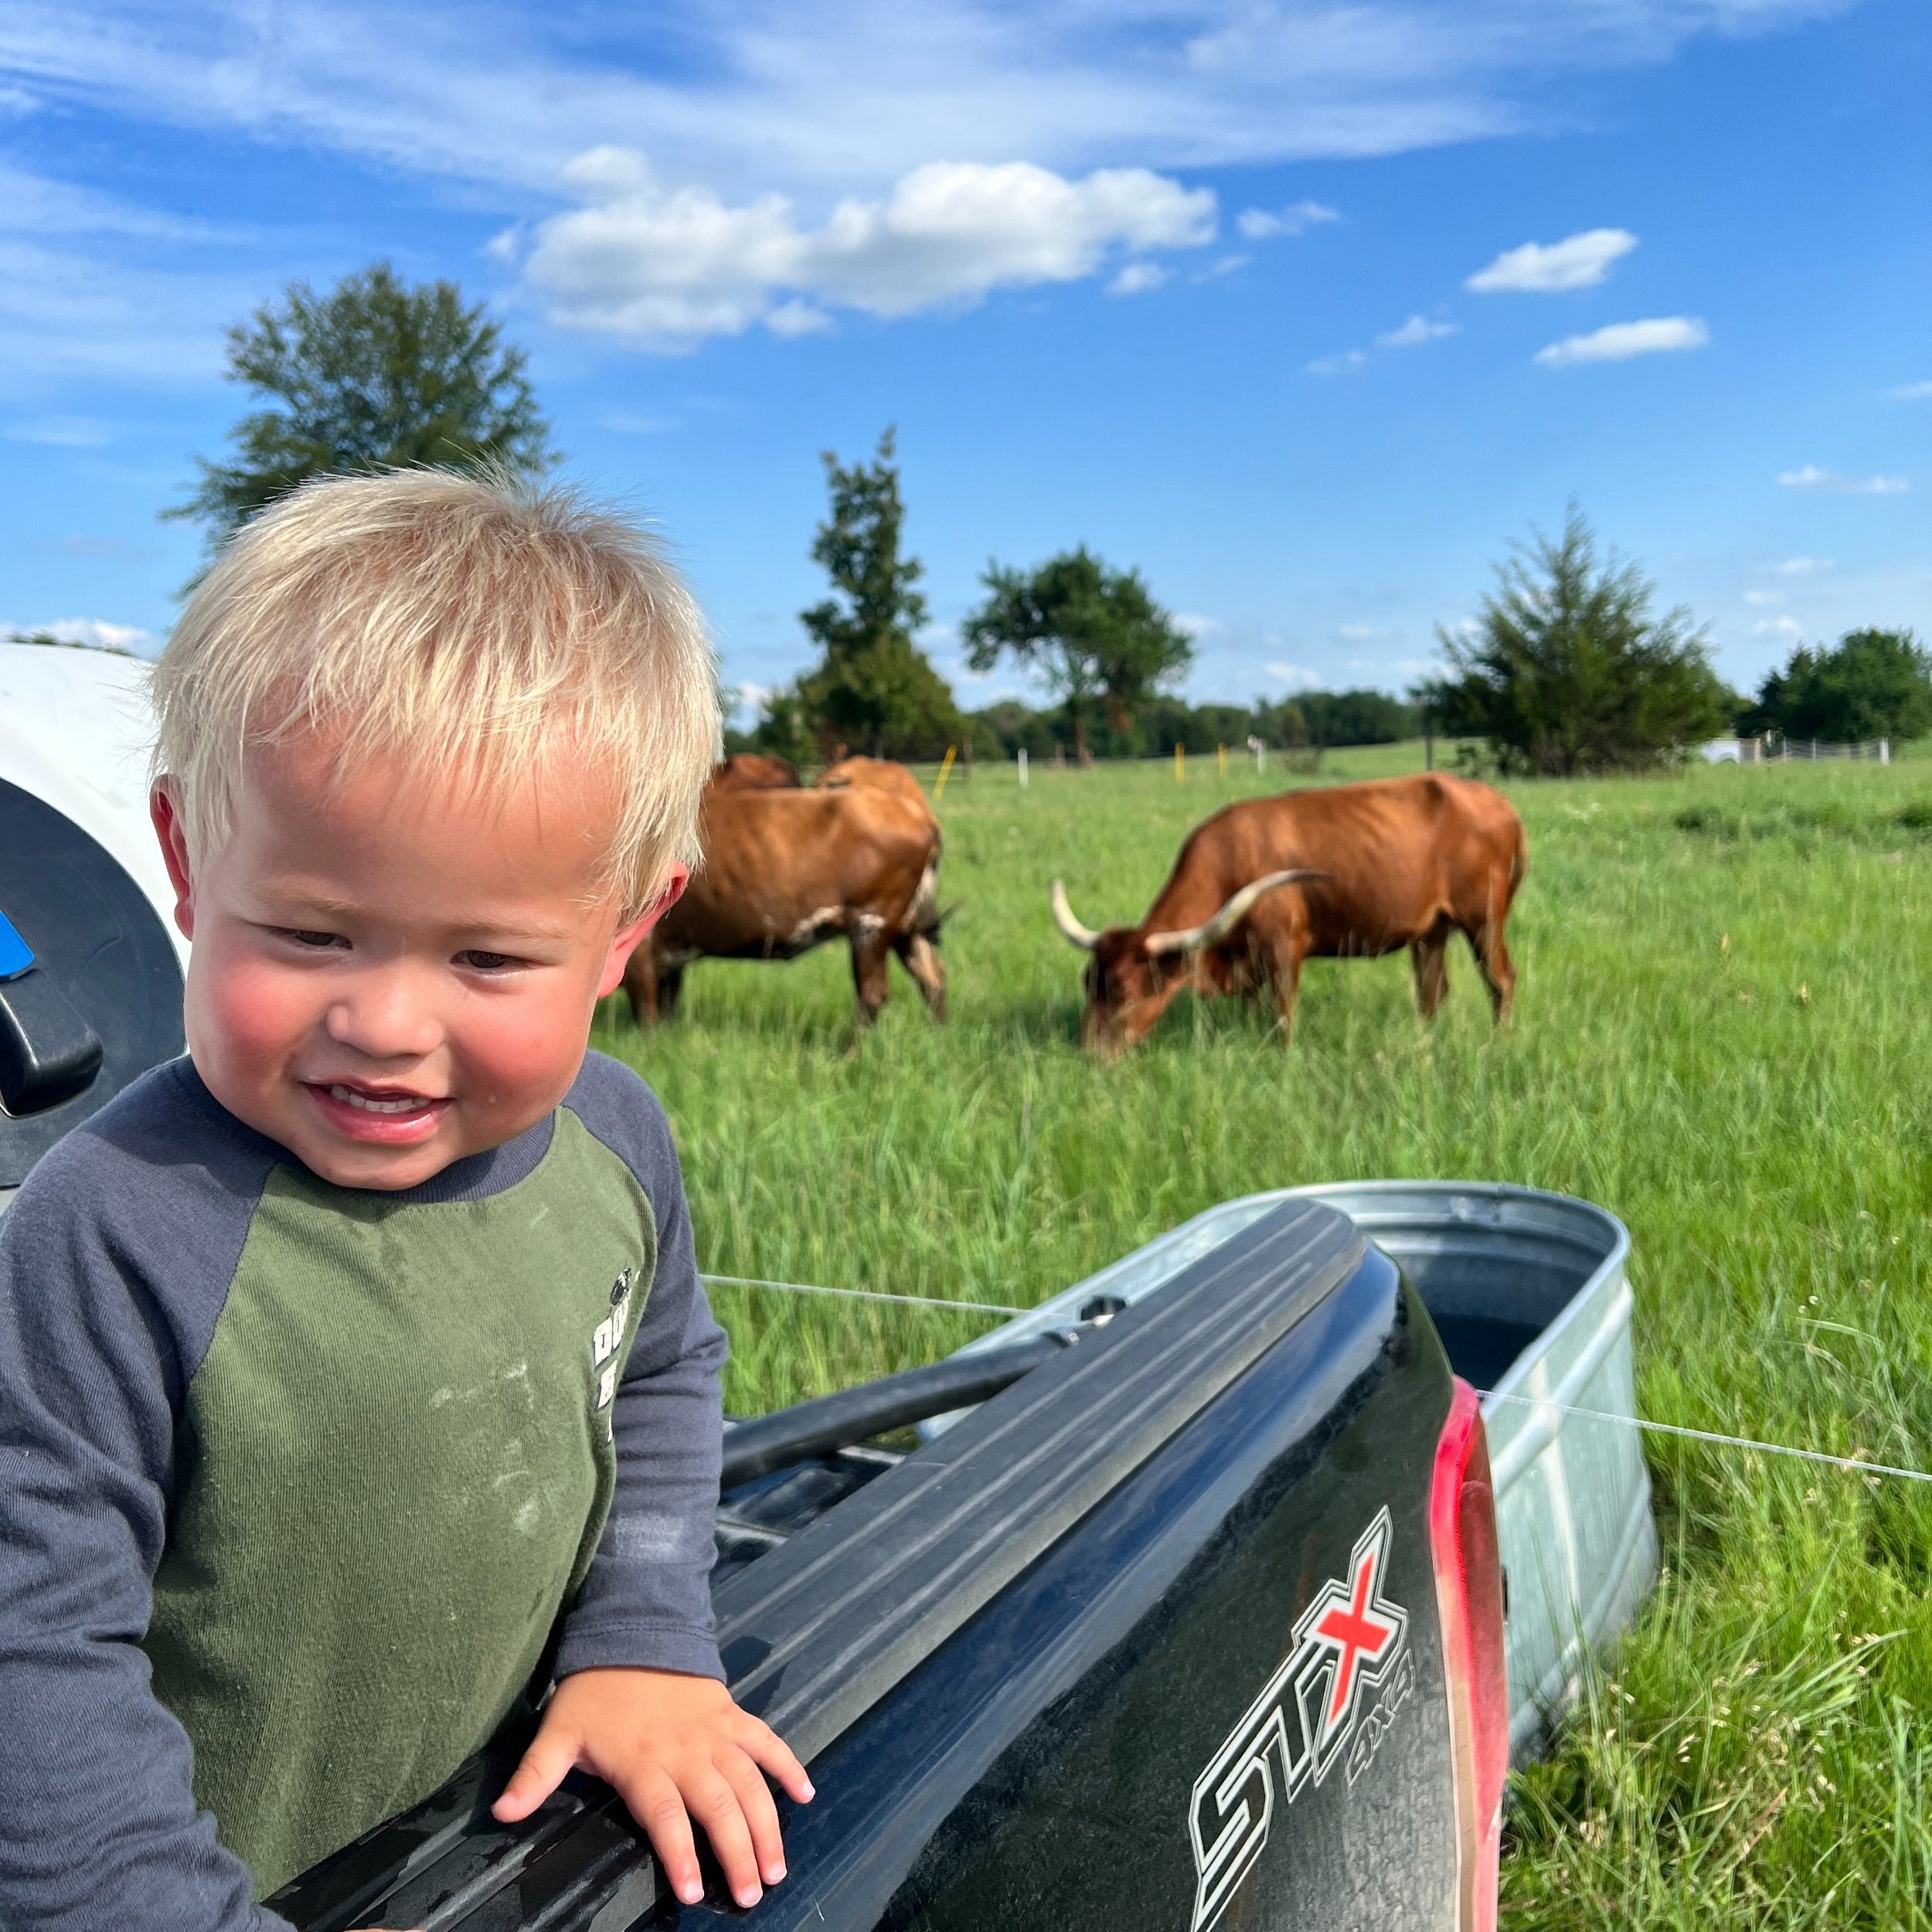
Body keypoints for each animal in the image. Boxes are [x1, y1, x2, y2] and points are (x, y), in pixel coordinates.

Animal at [625, 783, 946, 1028]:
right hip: (905, 927)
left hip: (871, 923)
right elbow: (665, 1009)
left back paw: (848, 1056)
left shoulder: (642, 954)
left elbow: (647, 1014)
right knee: (931, 976)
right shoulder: (669, 959)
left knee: (873, 994)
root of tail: (914, 812)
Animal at [1050, 773, 1525, 1055]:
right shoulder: (1247, 961)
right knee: (1431, 991)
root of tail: (1497, 801)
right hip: (1431, 930)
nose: (1088, 1056)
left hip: (1482, 919)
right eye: (1088, 982)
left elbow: (1281, 1016)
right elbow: (1253, 1011)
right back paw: (1422, 1040)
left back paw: (1499, 1044)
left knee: (1500, 980)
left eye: (1125, 990)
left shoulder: (1283, 949)